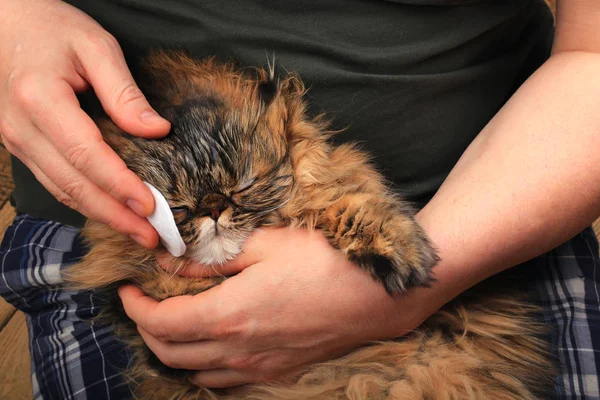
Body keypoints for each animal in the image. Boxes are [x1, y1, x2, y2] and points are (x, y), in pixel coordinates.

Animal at [63, 51, 556, 398]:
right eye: (179, 209)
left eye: (243, 186)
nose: (214, 208)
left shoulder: (334, 189)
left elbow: (349, 204)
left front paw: (401, 253)